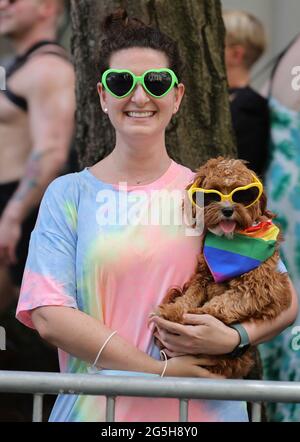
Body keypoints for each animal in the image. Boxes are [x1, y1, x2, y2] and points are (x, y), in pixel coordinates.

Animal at [152, 157, 290, 378]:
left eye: (242, 194)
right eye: (212, 194)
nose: (227, 210)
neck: (230, 244)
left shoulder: (259, 288)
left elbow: (222, 304)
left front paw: (198, 315)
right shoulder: (203, 277)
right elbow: (190, 296)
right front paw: (174, 310)